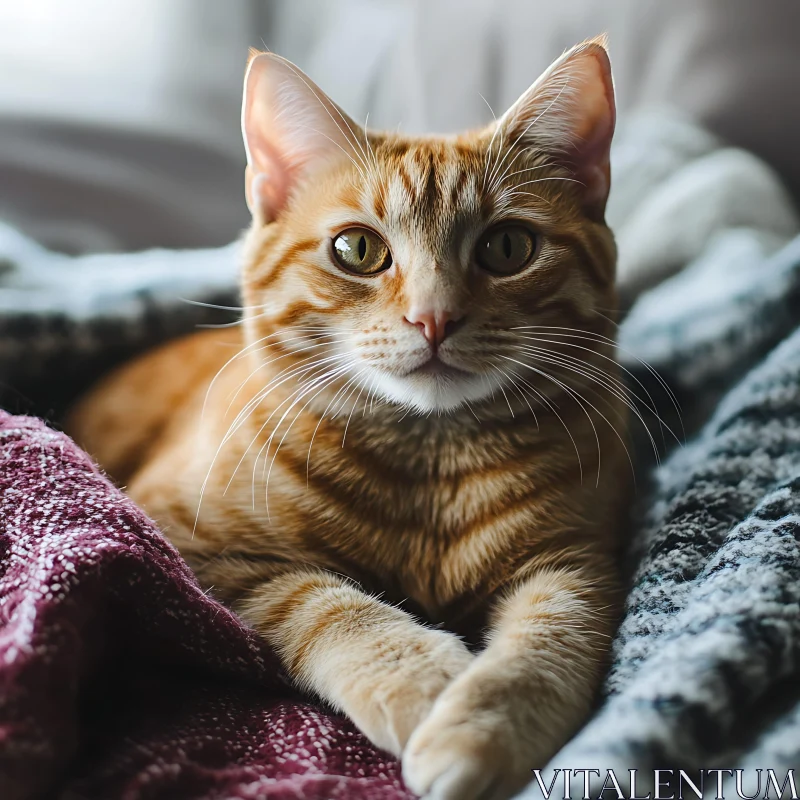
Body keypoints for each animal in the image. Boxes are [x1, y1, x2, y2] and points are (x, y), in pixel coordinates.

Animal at [69, 40, 628, 800]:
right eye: (357, 250)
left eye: (507, 248)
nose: (433, 317)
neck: (430, 461)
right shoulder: (186, 547)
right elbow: (330, 605)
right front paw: (424, 682)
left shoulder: (574, 561)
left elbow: (550, 643)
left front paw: (480, 730)